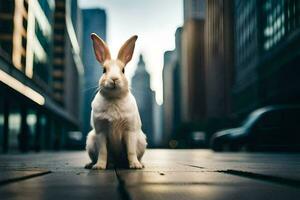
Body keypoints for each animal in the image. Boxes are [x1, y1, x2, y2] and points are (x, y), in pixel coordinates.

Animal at [85, 33, 147, 170]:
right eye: (104, 70)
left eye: (123, 70)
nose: (114, 79)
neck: (114, 99)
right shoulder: (101, 131)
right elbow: (103, 151)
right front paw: (99, 166)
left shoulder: (129, 131)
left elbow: (131, 151)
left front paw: (135, 165)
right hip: (90, 141)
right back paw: (91, 165)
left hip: (141, 140)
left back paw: (141, 164)